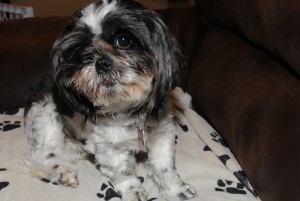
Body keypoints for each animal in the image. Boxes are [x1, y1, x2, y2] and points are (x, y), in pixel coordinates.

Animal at [23, 0, 197, 200]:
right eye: (82, 52)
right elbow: (123, 172)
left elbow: (164, 168)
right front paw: (134, 192)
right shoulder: (109, 147)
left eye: (124, 40)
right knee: (42, 154)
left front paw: (176, 190)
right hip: (46, 115)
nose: (101, 62)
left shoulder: (162, 133)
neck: (129, 110)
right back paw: (63, 172)